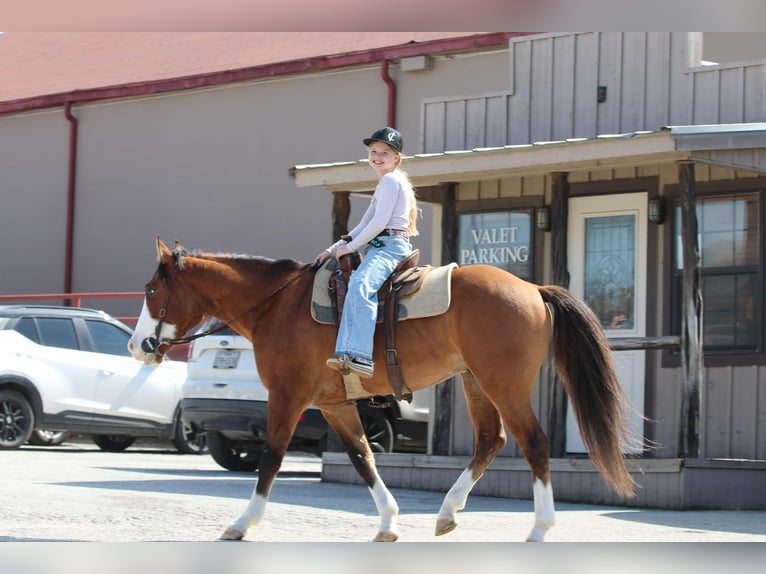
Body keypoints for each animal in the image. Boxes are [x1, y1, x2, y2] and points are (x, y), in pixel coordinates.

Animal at [130, 237, 636, 544]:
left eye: (152, 289)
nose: (138, 346)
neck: (276, 306)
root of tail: (533, 289)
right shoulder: (334, 405)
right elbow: (362, 457)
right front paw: (389, 522)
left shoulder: (287, 398)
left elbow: (271, 458)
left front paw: (240, 523)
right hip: (475, 381)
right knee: (490, 441)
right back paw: (447, 513)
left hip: (504, 384)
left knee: (534, 444)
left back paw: (540, 528)